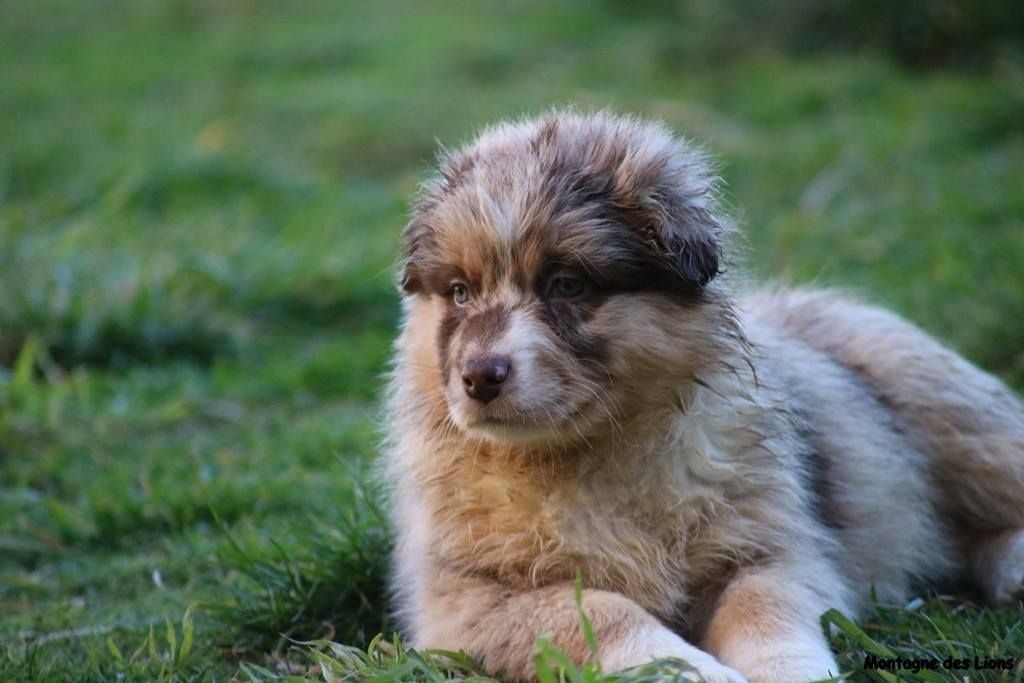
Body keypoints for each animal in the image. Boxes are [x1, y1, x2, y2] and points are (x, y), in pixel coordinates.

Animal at [382, 112, 1024, 683]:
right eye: (459, 293)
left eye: (567, 285)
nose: (479, 377)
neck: (584, 454)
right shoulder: (468, 598)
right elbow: (602, 614)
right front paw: (693, 672)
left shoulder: (767, 547)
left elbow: (764, 610)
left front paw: (788, 672)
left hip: (952, 414)